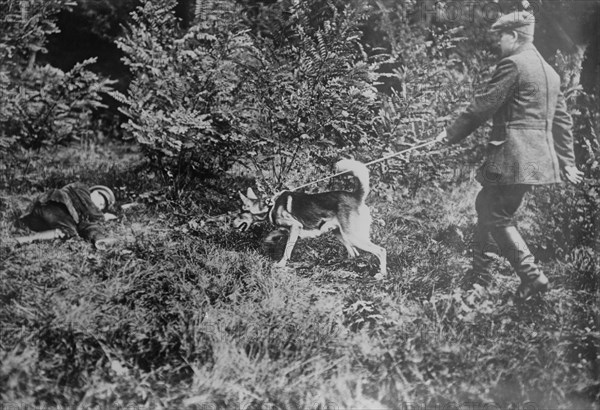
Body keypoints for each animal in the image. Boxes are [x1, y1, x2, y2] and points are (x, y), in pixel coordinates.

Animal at [232, 160, 386, 278]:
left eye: (240, 212)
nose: (231, 224)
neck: (271, 205)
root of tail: (356, 195)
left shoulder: (295, 227)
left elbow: (287, 250)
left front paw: (281, 264)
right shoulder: (287, 230)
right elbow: (271, 236)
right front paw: (268, 244)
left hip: (352, 235)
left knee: (380, 250)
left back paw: (381, 274)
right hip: (339, 233)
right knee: (354, 253)